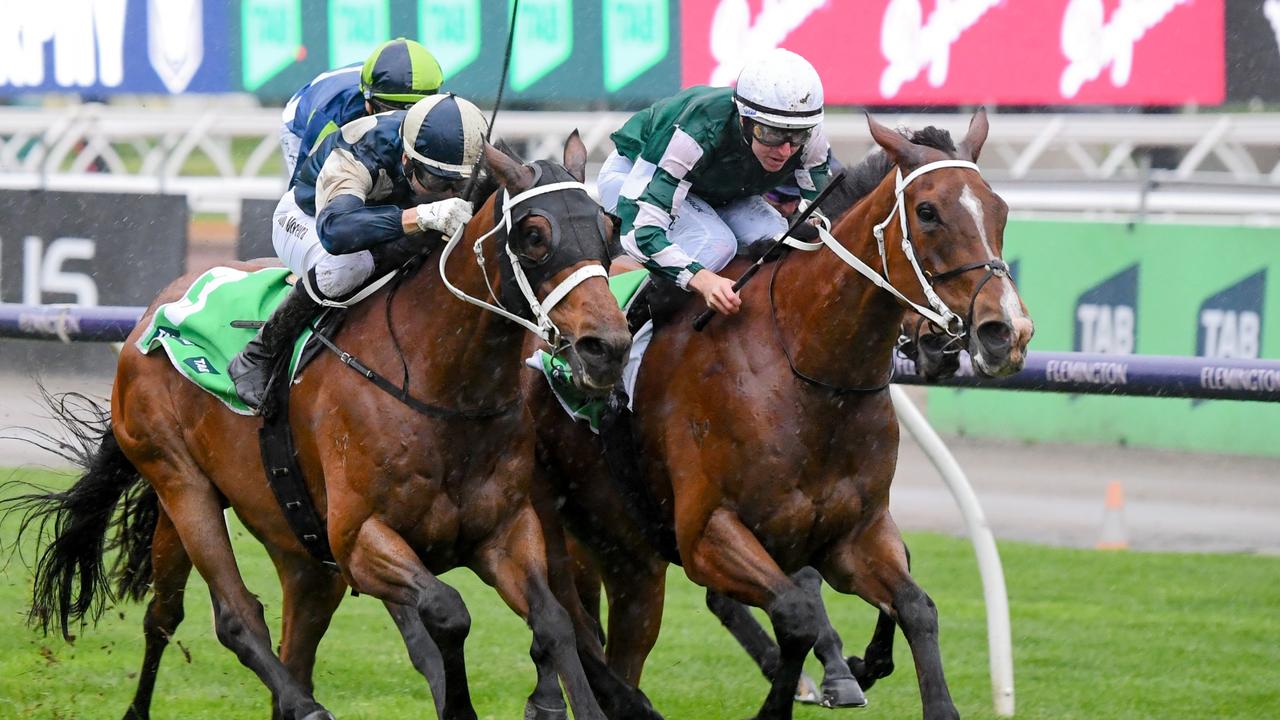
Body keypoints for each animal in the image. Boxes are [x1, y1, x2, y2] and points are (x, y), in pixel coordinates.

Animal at [5, 135, 650, 717]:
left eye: (610, 227)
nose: (606, 348)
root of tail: (152, 314)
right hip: (180, 483)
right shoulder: (361, 539)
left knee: (216, 622)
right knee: (231, 617)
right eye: (534, 235)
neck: (439, 387)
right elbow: (448, 612)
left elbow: (554, 622)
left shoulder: (504, 531)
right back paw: (302, 705)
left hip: (288, 541)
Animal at [524, 107, 1034, 717]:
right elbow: (798, 612)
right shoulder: (708, 535)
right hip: (568, 531)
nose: (1006, 331)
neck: (807, 370)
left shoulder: (853, 535)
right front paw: (815, 685)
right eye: (928, 211)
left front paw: (870, 670)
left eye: (999, 208)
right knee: (568, 618)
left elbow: (915, 606)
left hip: (630, 559)